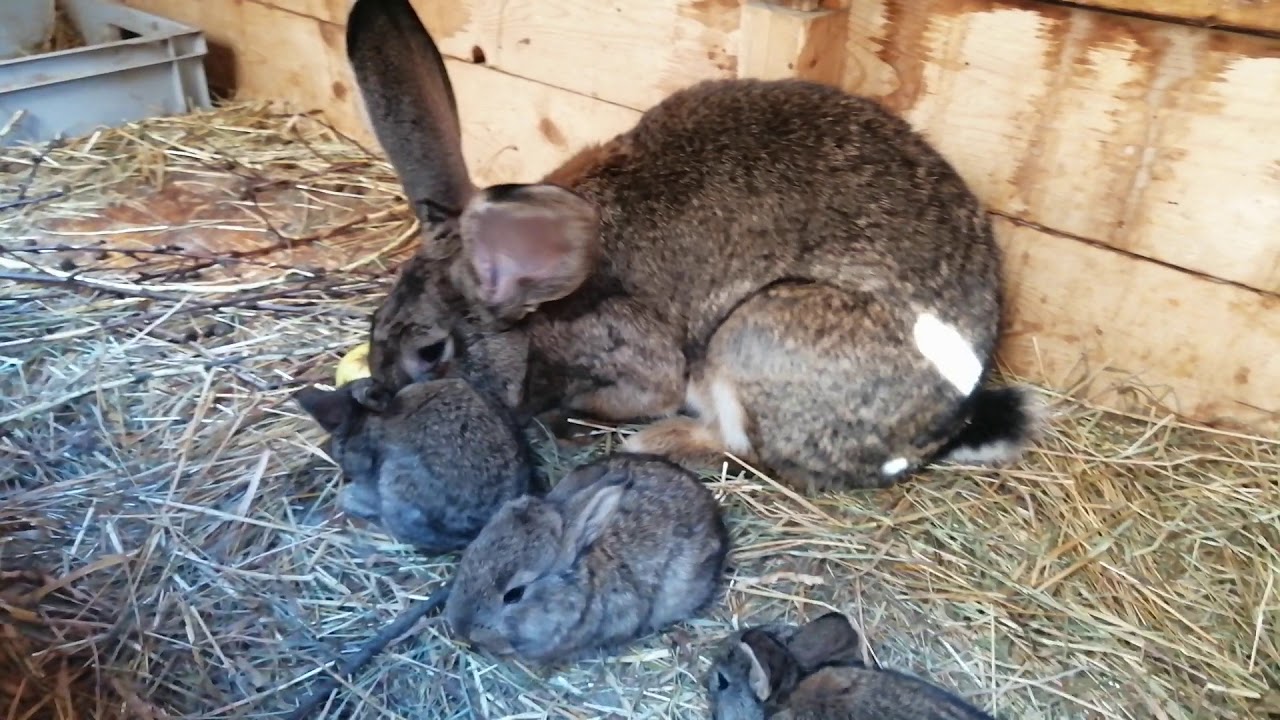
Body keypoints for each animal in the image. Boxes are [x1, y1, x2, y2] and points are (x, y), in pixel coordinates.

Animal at [343, 0, 1044, 493]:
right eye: (375, 326)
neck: (538, 305)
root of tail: (942, 429)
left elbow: (640, 389)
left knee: (747, 448)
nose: (377, 402)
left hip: (756, 337)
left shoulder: (635, 355)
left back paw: (660, 441)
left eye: (431, 352)